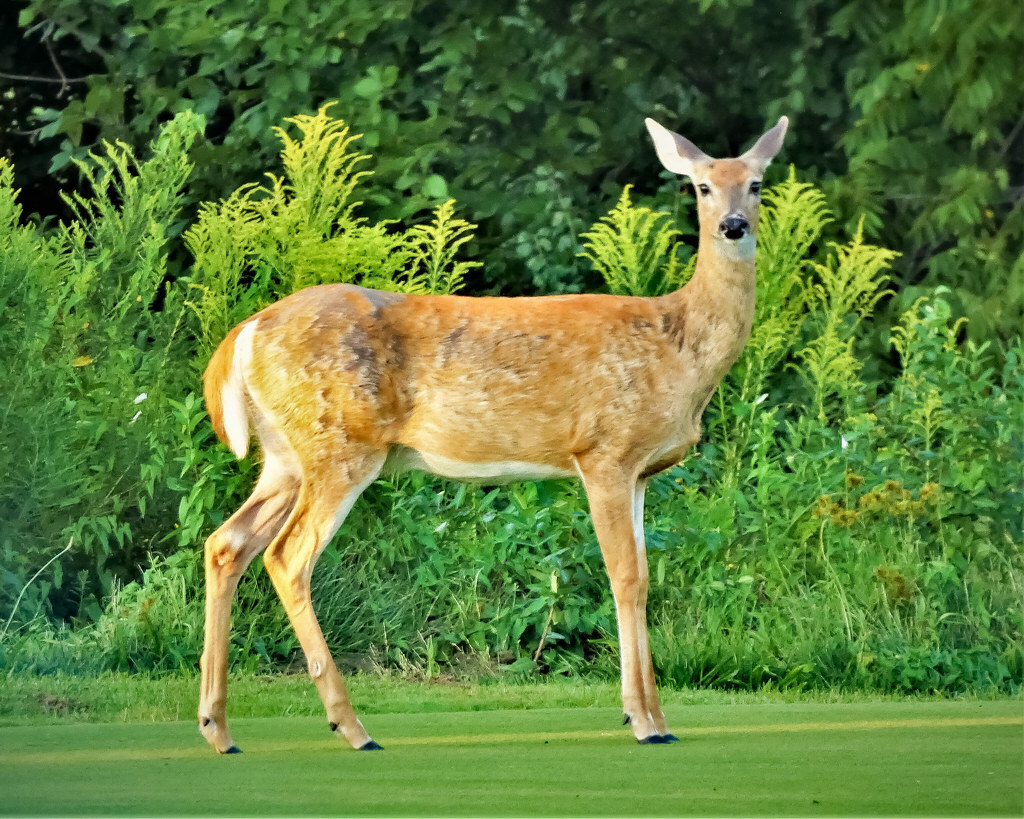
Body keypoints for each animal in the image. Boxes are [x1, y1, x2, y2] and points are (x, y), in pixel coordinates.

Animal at [197, 114, 788, 753]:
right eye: (702, 186)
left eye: (756, 183)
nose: (733, 225)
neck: (678, 347)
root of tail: (244, 334)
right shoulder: (603, 449)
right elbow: (626, 577)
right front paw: (644, 722)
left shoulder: (639, 471)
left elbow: (644, 578)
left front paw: (653, 717)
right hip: (340, 445)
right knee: (287, 557)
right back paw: (351, 727)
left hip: (286, 455)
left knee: (226, 544)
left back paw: (219, 728)